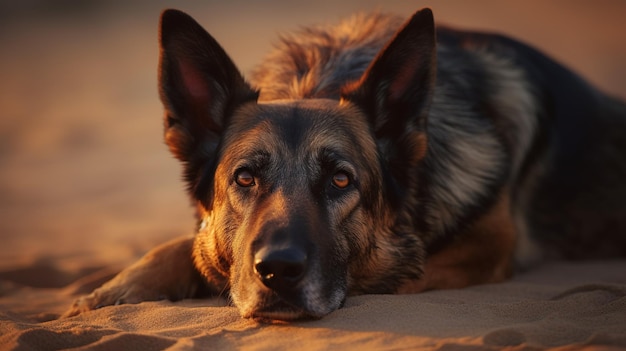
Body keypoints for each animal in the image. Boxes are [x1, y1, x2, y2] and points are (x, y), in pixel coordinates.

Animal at [63, 7, 624, 322]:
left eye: (340, 180)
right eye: (245, 178)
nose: (278, 271)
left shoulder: (488, 247)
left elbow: (388, 275)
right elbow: (182, 245)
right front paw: (117, 290)